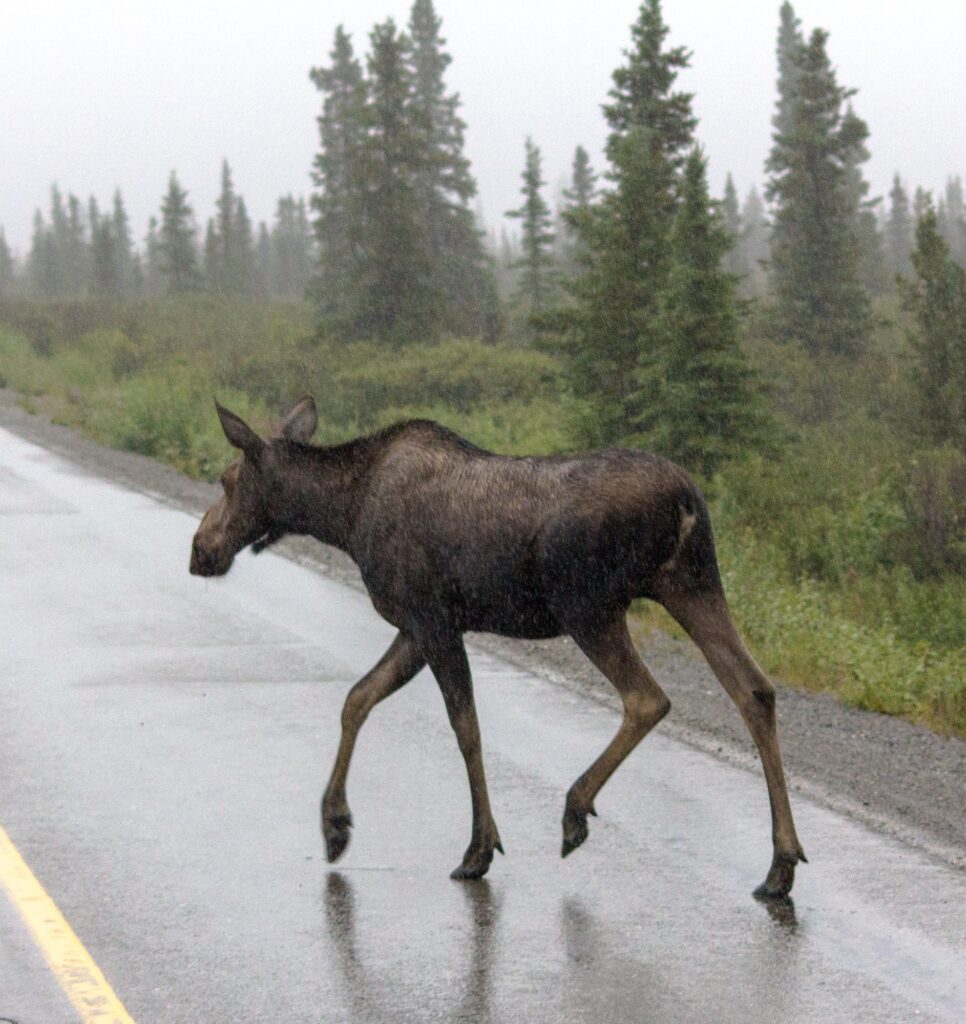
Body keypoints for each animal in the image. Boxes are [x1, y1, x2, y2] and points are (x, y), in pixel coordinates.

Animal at [189, 395, 807, 898]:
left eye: (225, 479)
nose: (199, 550)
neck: (344, 515)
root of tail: (686, 499)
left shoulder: (433, 620)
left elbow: (465, 728)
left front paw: (478, 848)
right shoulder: (417, 627)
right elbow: (357, 699)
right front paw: (335, 823)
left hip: (589, 604)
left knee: (647, 697)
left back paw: (575, 809)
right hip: (692, 584)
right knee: (754, 690)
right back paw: (780, 866)